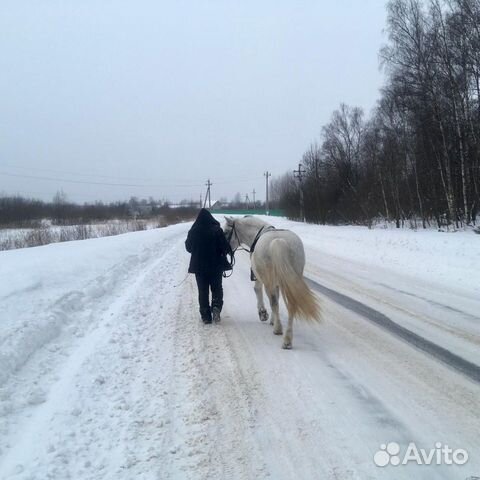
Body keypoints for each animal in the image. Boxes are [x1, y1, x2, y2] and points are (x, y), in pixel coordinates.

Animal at [223, 215, 320, 348]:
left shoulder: (261, 279)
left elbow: (259, 291)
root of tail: (279, 241)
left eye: (226, 232)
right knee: (290, 305)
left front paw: (264, 315)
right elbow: (277, 299)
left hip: (269, 281)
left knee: (273, 302)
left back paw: (278, 330)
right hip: (292, 280)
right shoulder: (278, 283)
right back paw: (287, 339)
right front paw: (272, 320)